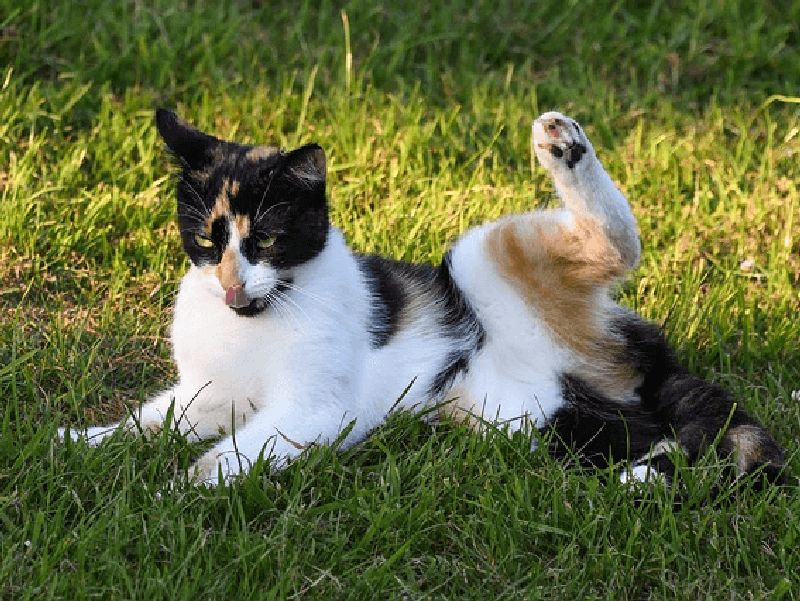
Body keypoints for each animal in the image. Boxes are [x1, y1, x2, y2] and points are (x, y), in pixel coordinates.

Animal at [57, 108, 788, 488]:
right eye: (207, 239)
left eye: (265, 236)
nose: (232, 283)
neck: (263, 314)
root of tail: (649, 357)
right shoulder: (206, 394)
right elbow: (153, 420)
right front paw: (82, 442)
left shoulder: (315, 410)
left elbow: (228, 453)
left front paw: (173, 492)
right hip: (533, 421)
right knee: (650, 434)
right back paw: (649, 470)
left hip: (480, 256)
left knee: (619, 245)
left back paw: (563, 145)